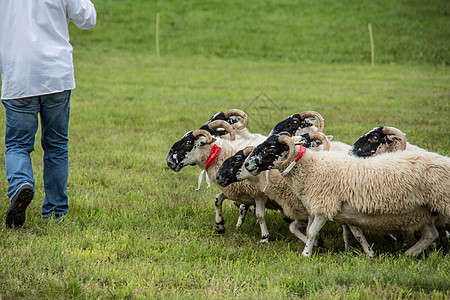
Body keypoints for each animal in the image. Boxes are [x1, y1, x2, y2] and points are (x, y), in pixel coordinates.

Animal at [243, 134, 450, 258]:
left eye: (270, 149)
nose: (246, 164)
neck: (310, 167)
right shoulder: (346, 213)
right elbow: (357, 234)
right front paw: (370, 253)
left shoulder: (323, 207)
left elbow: (311, 232)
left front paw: (306, 254)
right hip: (424, 212)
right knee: (430, 235)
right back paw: (408, 255)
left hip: (442, 204)